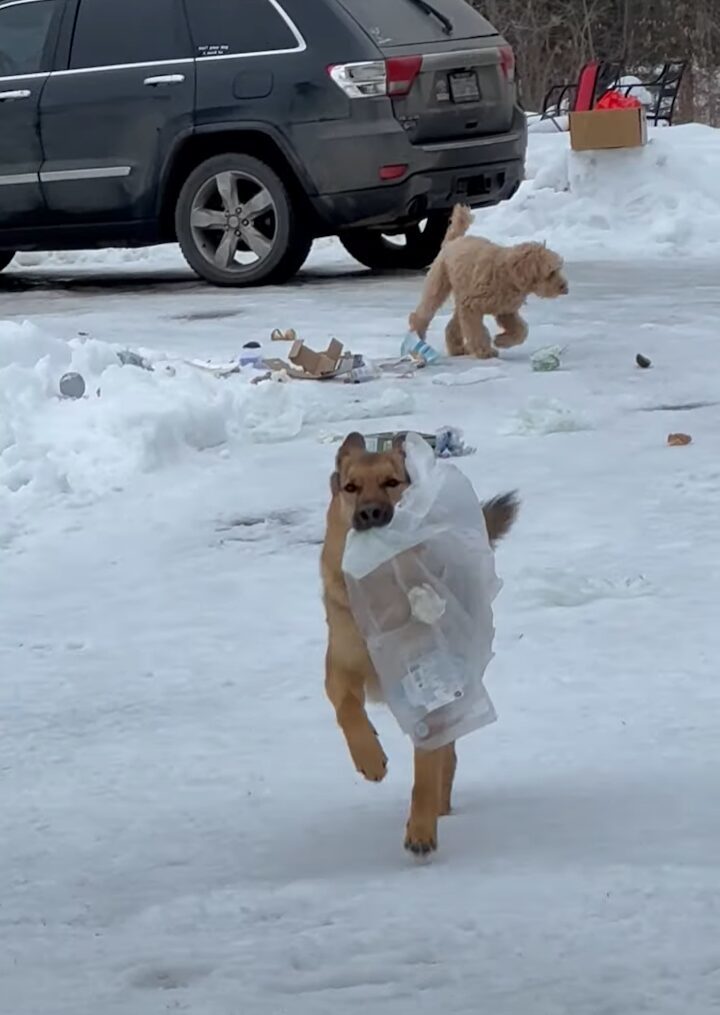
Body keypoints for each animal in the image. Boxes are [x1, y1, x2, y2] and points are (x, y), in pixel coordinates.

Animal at [320, 432, 515, 852]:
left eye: (392, 483)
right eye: (351, 488)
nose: (370, 514)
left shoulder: (431, 689)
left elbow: (426, 768)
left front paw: (422, 829)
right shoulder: (340, 667)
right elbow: (347, 710)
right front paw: (369, 758)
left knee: (447, 754)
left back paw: (440, 805)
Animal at [408, 204, 564, 359]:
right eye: (551, 272)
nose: (564, 287)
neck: (508, 273)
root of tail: (451, 242)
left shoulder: (505, 310)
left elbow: (521, 330)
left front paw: (500, 341)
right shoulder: (471, 306)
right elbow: (476, 331)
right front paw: (484, 351)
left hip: (460, 294)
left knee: (453, 324)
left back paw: (457, 348)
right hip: (438, 285)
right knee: (423, 315)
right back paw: (417, 341)